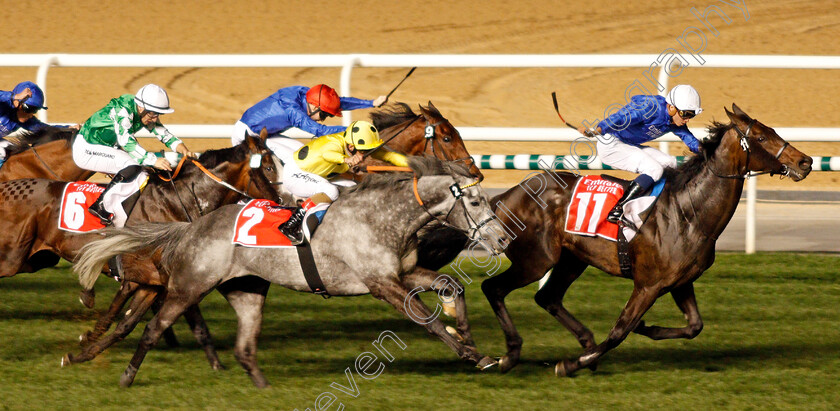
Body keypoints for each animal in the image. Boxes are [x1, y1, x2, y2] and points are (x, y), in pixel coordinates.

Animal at [77, 156, 512, 388]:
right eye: (475, 201)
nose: (504, 238)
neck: (382, 216)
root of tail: (192, 226)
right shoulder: (381, 284)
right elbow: (428, 322)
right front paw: (472, 354)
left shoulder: (404, 274)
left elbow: (451, 286)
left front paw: (470, 337)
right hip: (189, 287)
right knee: (152, 327)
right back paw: (126, 377)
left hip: (247, 290)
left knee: (244, 347)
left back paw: (264, 388)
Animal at [420, 104, 812, 376]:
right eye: (761, 138)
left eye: (772, 130)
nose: (805, 161)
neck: (689, 212)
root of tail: (507, 196)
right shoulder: (648, 284)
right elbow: (620, 329)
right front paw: (573, 363)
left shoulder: (680, 281)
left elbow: (693, 326)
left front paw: (644, 329)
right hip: (537, 258)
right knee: (495, 288)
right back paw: (512, 354)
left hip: (571, 259)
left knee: (547, 296)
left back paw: (582, 344)